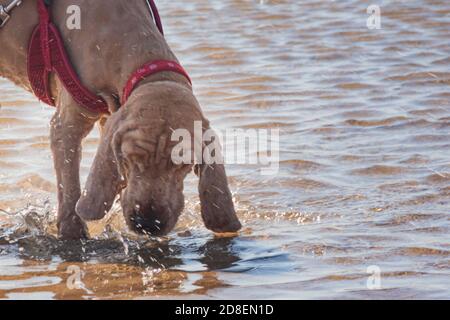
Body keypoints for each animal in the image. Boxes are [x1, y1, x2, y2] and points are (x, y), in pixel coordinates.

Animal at [0, 0, 241, 239]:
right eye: (128, 158)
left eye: (183, 164)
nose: (147, 223)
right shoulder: (66, 126)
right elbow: (69, 189)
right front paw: (73, 234)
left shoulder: (110, 117)